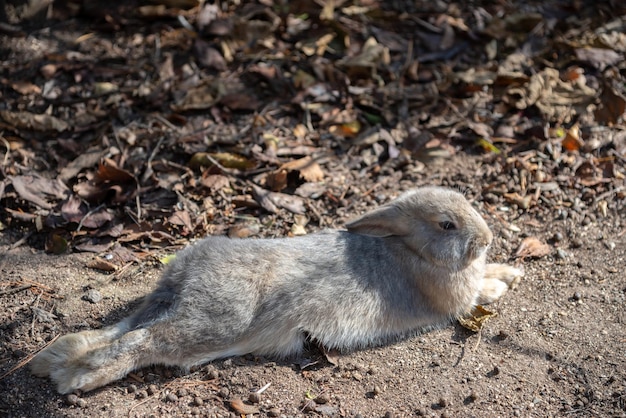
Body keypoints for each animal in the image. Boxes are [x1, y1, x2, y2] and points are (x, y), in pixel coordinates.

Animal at [29, 185, 520, 392]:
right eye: (446, 225)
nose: (486, 238)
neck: (412, 249)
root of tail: (181, 281)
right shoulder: (455, 300)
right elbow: (479, 292)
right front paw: (502, 283)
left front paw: (511, 271)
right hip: (213, 324)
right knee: (143, 339)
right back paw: (77, 378)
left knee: (121, 327)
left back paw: (51, 362)